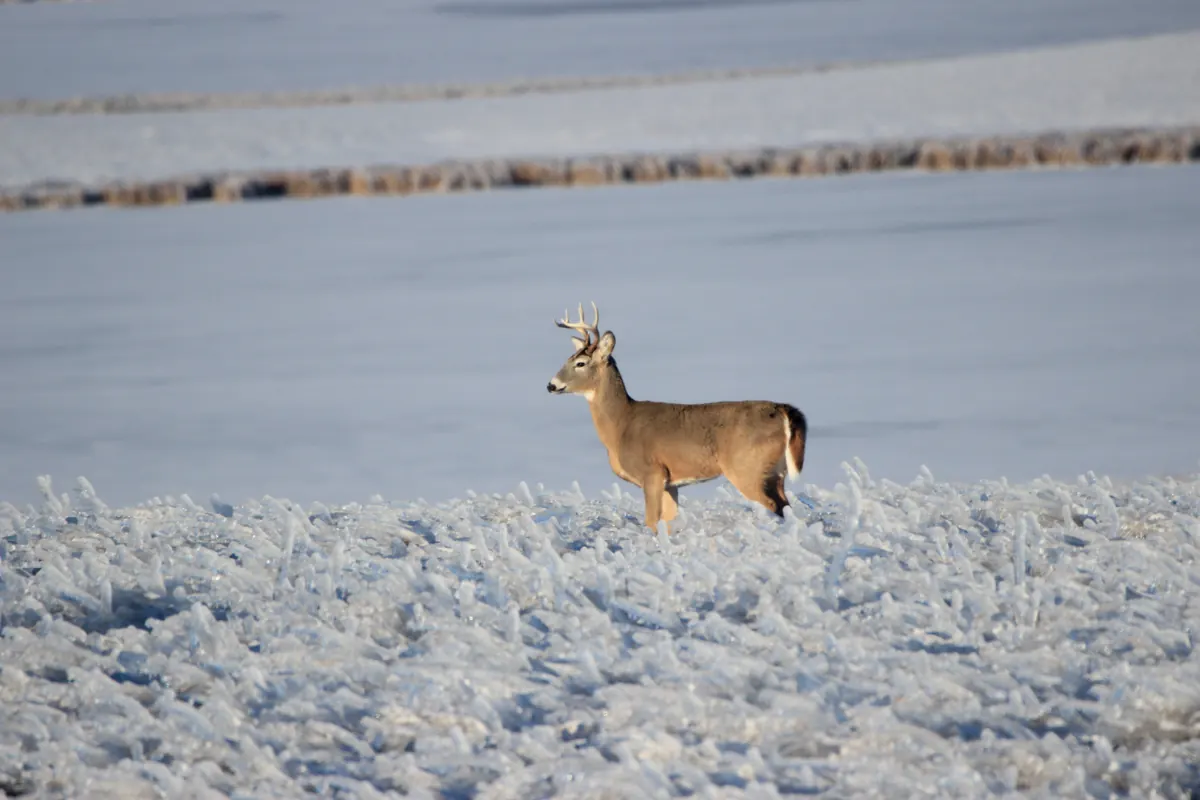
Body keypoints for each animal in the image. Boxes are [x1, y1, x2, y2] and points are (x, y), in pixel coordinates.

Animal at [546, 302, 808, 532]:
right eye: (567, 359)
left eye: (580, 363)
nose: (551, 385)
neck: (620, 426)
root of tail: (783, 410)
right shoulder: (670, 482)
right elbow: (668, 522)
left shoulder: (652, 472)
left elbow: (651, 522)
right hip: (776, 472)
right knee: (786, 506)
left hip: (747, 467)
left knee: (774, 506)